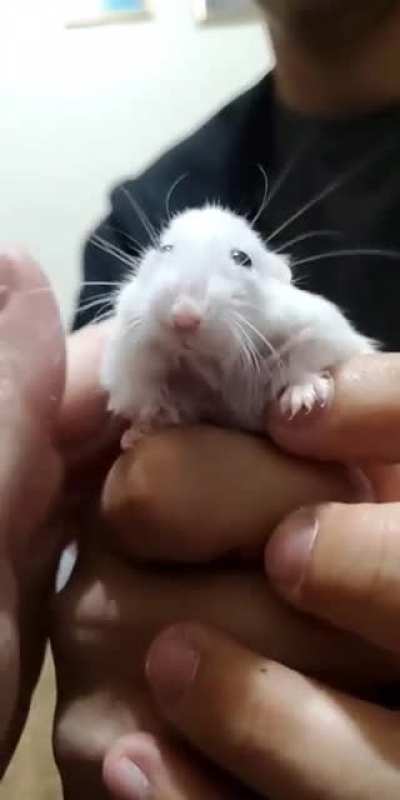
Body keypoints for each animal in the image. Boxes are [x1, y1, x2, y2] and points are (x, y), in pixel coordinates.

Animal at [101, 205, 375, 447]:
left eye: (243, 259)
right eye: (165, 248)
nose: (183, 319)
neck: (210, 362)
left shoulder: (325, 329)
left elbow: (304, 357)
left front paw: (303, 402)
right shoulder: (128, 359)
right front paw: (137, 433)